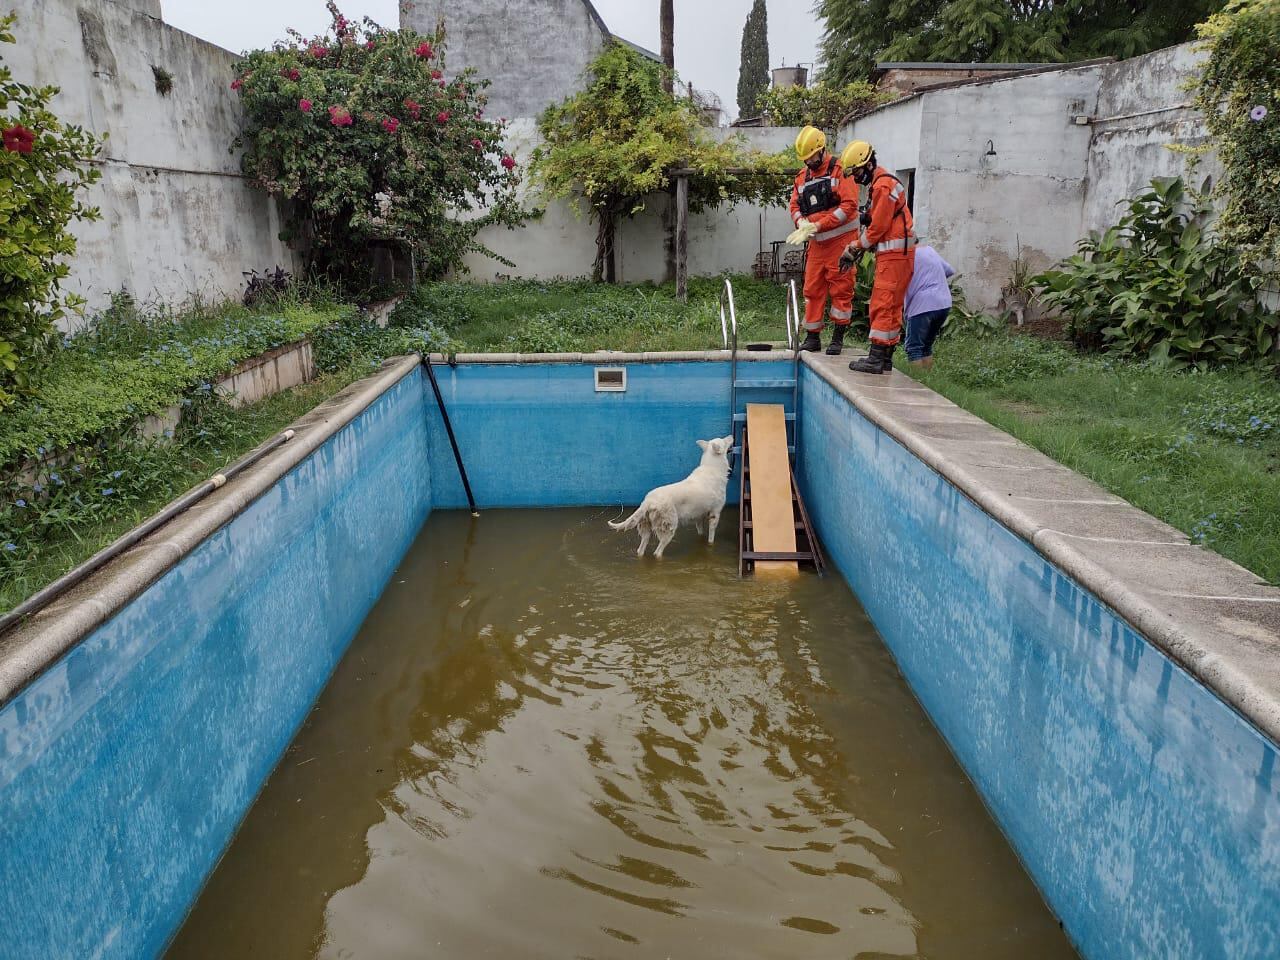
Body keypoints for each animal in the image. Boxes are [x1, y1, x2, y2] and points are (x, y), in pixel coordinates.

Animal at [606, 435, 737, 560]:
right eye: (725, 440)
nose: (732, 436)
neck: (712, 466)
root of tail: (648, 502)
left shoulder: (699, 516)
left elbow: (700, 532)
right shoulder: (715, 513)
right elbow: (711, 537)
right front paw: (710, 544)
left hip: (646, 529)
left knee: (640, 550)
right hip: (669, 528)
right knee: (657, 552)